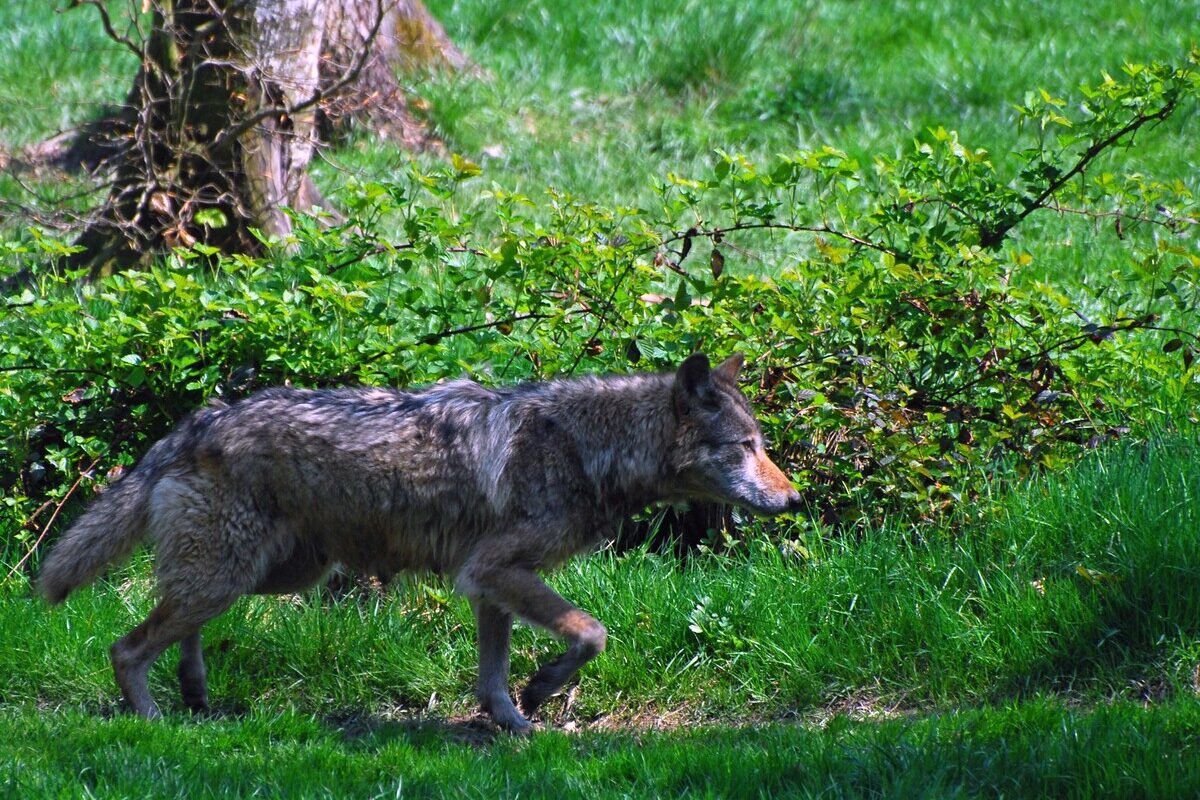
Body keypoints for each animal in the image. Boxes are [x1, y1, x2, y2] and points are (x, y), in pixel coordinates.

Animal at [38, 352, 800, 731]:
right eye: (746, 447)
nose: (795, 499)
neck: (590, 448)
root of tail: (201, 418)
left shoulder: (489, 584)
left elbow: (493, 674)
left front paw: (514, 722)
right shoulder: (495, 570)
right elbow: (591, 634)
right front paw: (539, 693)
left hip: (269, 576)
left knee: (178, 626)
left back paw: (196, 699)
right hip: (235, 575)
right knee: (129, 646)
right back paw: (154, 721)